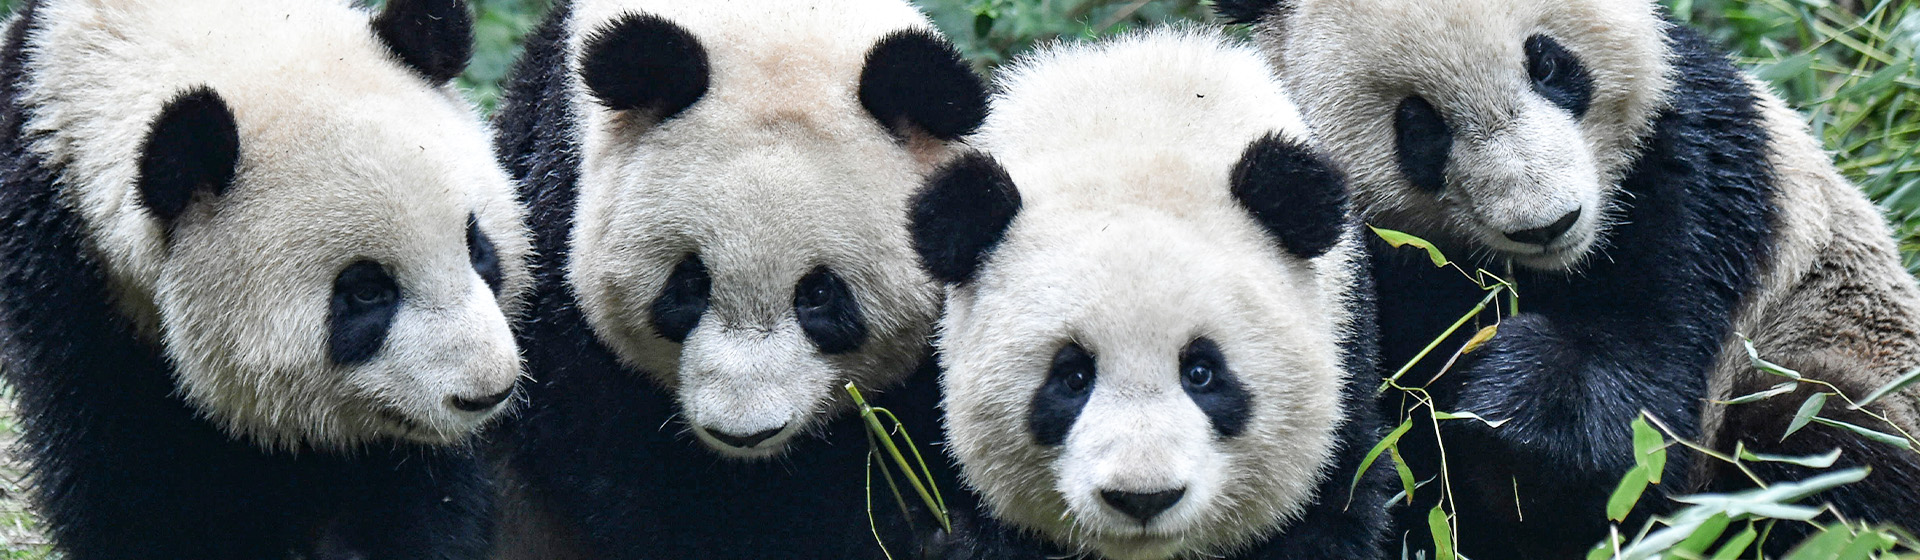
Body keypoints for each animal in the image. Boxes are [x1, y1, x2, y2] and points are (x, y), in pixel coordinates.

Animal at [1216, 0, 1920, 557]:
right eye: (1418, 122)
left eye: (1548, 65)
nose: (1548, 222)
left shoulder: (1697, 185)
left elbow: (1643, 403)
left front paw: (1513, 400)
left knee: (1817, 445)